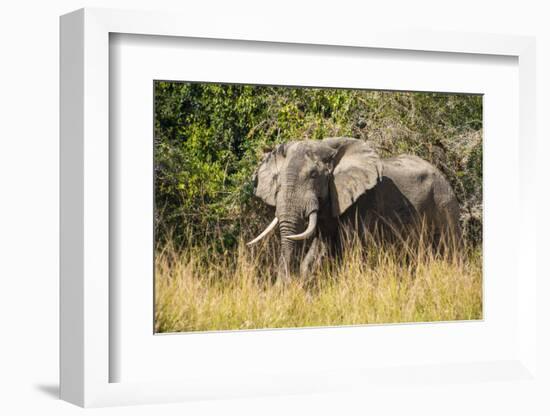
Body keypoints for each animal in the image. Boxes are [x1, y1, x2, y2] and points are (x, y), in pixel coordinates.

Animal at [248, 136, 464, 282]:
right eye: (278, 179)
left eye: (314, 175)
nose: (282, 286)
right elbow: (316, 253)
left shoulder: (360, 205)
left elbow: (352, 251)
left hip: (444, 202)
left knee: (451, 250)